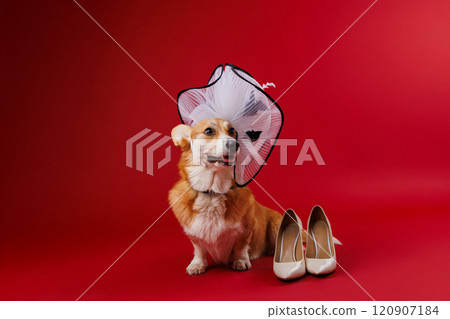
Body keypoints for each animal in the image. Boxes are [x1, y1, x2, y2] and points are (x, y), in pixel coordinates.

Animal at [169, 119, 282, 276]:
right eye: (208, 131)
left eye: (232, 131)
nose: (236, 144)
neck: (212, 192)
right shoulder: (194, 234)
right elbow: (199, 250)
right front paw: (197, 265)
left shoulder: (245, 230)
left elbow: (241, 247)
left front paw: (241, 261)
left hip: (276, 224)